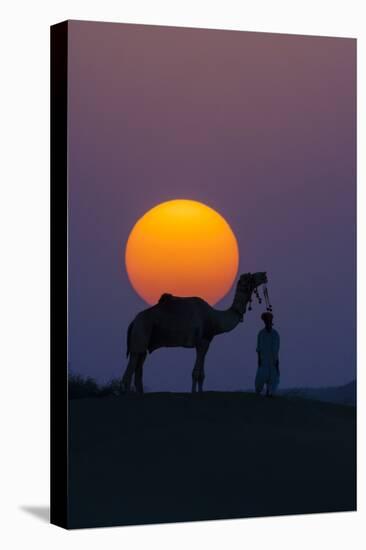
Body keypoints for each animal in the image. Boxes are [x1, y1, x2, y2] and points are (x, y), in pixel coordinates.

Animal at [121, 272, 268, 394]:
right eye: (251, 277)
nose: (264, 274)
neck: (214, 318)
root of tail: (133, 322)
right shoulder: (203, 341)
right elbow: (196, 373)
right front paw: (194, 392)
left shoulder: (205, 342)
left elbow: (201, 374)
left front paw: (200, 392)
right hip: (140, 333)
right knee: (130, 371)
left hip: (143, 343)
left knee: (139, 368)